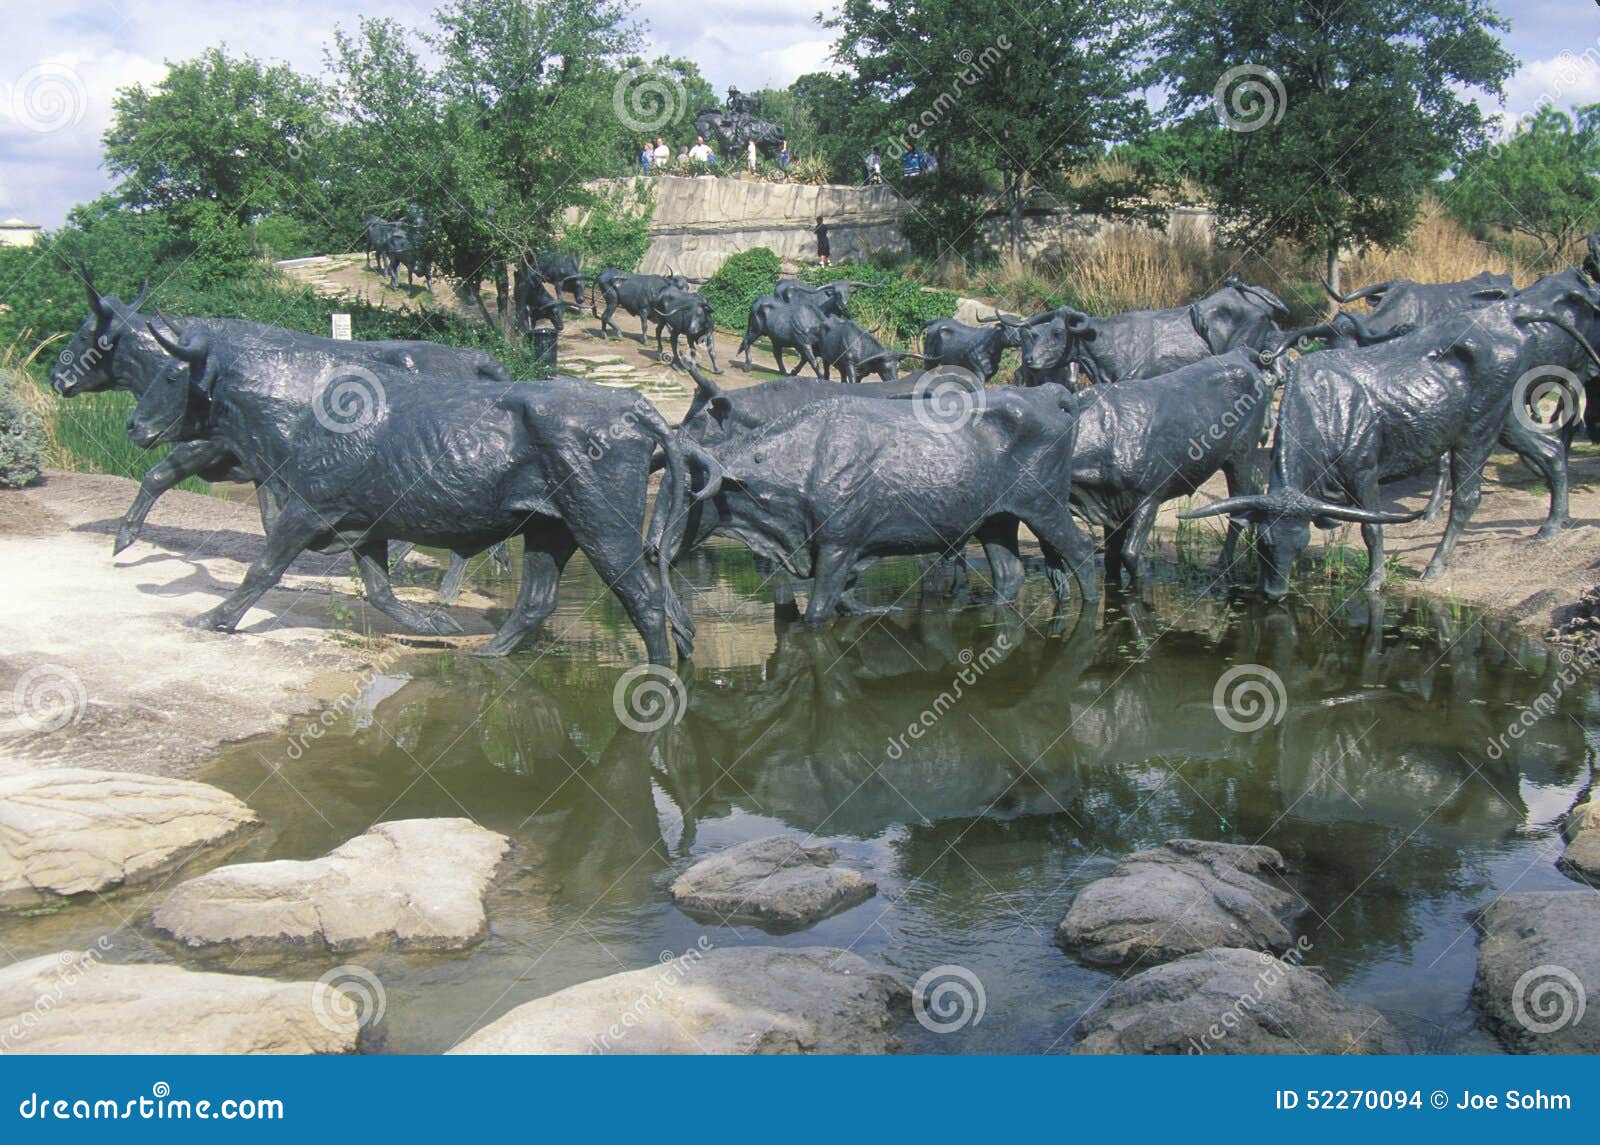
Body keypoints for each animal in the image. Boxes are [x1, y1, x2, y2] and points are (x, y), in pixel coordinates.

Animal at [128, 319, 696, 663]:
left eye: (173, 372)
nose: (133, 425)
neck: (300, 407)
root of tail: (631, 404)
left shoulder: (307, 511)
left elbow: (262, 569)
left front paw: (211, 618)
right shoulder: (362, 526)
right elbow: (380, 591)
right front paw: (432, 619)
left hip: (604, 531)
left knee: (644, 599)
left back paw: (657, 673)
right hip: (549, 530)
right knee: (537, 600)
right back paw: (487, 651)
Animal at [656, 363, 1098, 625]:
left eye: (688, 491)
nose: (651, 547)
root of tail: (1047, 394)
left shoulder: (837, 548)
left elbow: (817, 614)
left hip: (1045, 507)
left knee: (1080, 550)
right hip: (996, 520)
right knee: (1009, 574)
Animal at [1182, 300, 1600, 600]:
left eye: (1300, 546)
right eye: (1266, 543)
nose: (1274, 593)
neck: (1326, 406)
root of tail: (1507, 317)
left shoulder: (1364, 471)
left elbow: (1372, 527)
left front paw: (1375, 580)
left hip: (1478, 433)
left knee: (1468, 498)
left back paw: (1436, 566)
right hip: (1508, 421)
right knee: (1550, 450)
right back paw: (1553, 524)